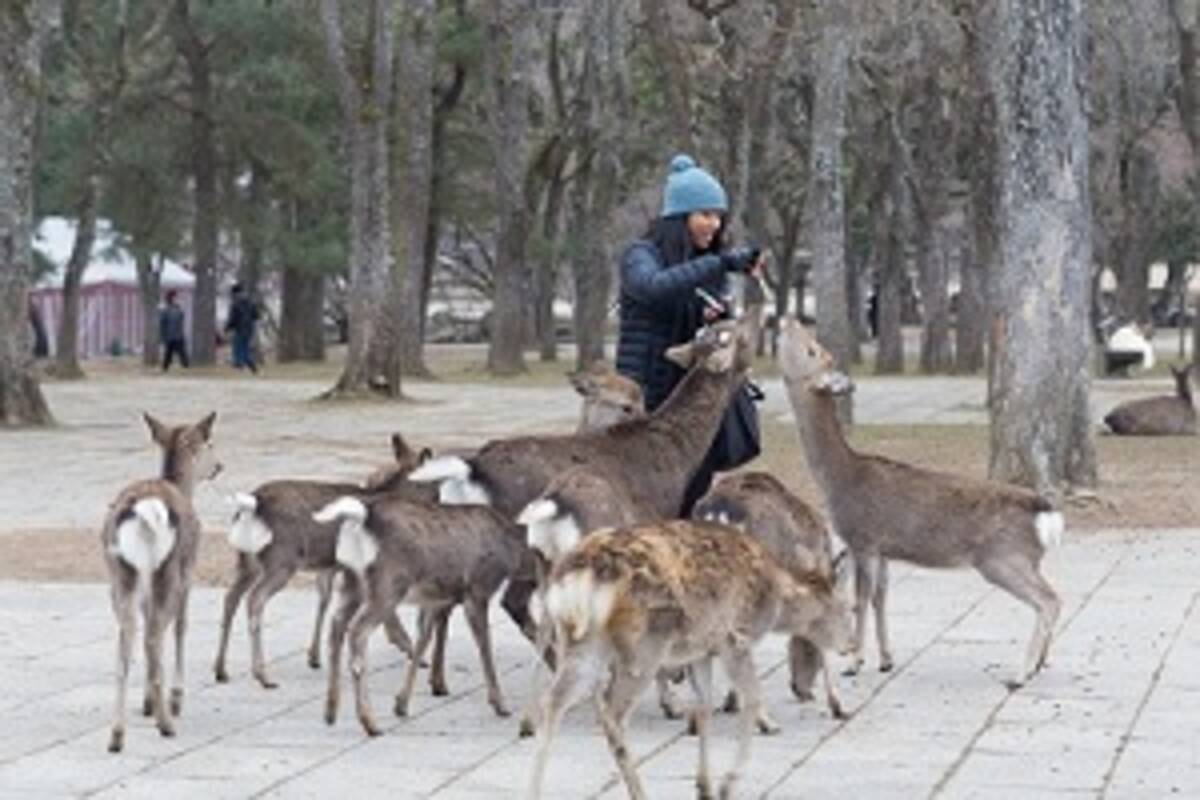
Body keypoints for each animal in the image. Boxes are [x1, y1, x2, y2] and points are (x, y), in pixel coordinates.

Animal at [102, 412, 220, 753]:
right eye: (209, 443)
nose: (219, 466)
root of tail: (145, 510)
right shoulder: (190, 572)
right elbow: (181, 626)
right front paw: (173, 699)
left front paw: (148, 702)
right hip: (168, 570)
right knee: (154, 634)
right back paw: (166, 722)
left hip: (120, 574)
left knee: (127, 639)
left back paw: (117, 734)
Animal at [213, 433, 435, 690]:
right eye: (433, 484)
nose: (438, 505)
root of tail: (252, 505)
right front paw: (412, 651)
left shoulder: (330, 565)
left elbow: (324, 598)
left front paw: (314, 656)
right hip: (281, 559)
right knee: (255, 600)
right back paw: (262, 675)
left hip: (246, 559)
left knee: (231, 597)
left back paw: (221, 670)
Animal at [312, 494, 531, 737]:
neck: (512, 553)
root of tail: (361, 518)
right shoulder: (477, 589)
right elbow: (484, 646)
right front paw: (501, 705)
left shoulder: (435, 599)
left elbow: (422, 640)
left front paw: (401, 704)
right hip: (388, 585)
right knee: (358, 632)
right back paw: (370, 723)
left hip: (351, 582)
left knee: (336, 625)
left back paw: (330, 712)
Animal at [525, 520, 853, 800]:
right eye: (846, 607)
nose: (850, 644)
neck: (775, 601)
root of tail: (577, 577)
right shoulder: (735, 639)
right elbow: (752, 699)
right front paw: (727, 784)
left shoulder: (700, 652)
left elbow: (705, 708)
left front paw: (704, 787)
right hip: (645, 646)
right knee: (612, 713)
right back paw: (640, 792)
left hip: (580, 641)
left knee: (551, 702)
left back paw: (533, 790)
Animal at [776, 316, 1064, 688]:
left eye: (812, 349)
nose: (788, 319)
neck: (837, 479)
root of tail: (1047, 513)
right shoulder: (883, 549)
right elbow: (881, 598)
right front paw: (885, 660)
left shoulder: (862, 539)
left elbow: (859, 599)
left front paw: (854, 662)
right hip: (1026, 560)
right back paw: (1039, 663)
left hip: (1002, 558)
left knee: (1049, 600)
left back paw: (1021, 673)